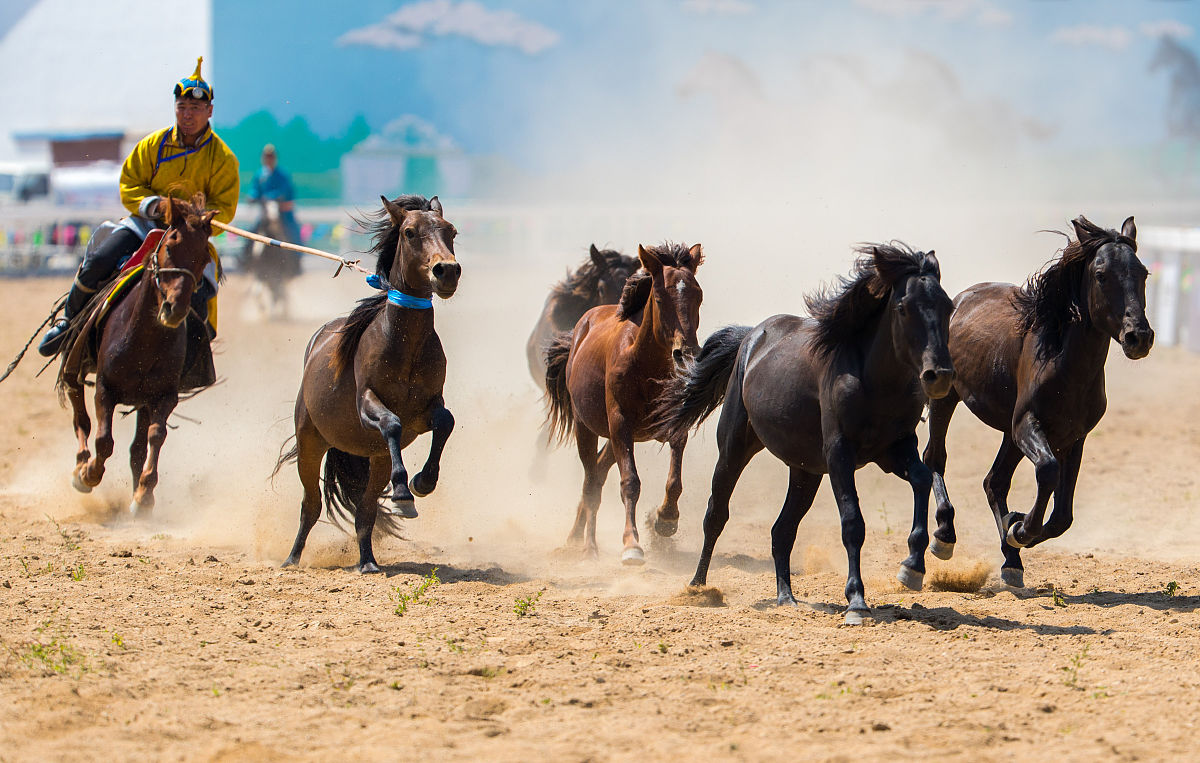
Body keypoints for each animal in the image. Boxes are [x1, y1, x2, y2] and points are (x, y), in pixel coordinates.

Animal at [59, 194, 218, 516]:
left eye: (204, 258)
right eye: (169, 247)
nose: (174, 309)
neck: (143, 342)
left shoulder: (163, 396)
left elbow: (155, 437)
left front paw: (144, 494)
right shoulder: (105, 389)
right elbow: (104, 440)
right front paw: (89, 473)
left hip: (143, 400)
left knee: (137, 447)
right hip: (74, 362)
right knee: (79, 413)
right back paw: (81, 464)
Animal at [273, 195, 460, 573]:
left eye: (451, 231)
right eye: (409, 232)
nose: (447, 270)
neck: (404, 344)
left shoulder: (427, 408)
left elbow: (445, 421)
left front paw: (422, 481)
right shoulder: (367, 405)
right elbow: (390, 422)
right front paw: (404, 491)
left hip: (377, 459)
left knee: (366, 510)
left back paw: (368, 561)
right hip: (310, 442)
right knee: (311, 505)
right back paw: (292, 559)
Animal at [544, 242, 704, 564]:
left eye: (698, 294)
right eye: (659, 297)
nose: (686, 354)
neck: (645, 364)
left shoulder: (672, 422)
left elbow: (675, 479)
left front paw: (665, 519)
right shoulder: (620, 424)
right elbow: (630, 482)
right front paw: (632, 544)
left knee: (598, 473)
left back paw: (577, 536)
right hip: (586, 428)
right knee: (591, 483)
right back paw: (587, 546)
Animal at [653, 243, 954, 624]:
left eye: (947, 306)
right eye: (903, 308)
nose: (939, 375)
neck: (873, 382)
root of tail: (750, 337)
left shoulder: (896, 449)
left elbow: (922, 478)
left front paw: (913, 566)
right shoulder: (840, 454)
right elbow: (852, 522)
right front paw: (856, 602)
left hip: (805, 472)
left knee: (781, 531)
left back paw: (786, 597)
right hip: (734, 449)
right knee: (716, 514)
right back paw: (697, 588)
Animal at [921, 216, 1153, 588]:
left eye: (1143, 272)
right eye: (1101, 274)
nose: (1139, 337)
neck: (1063, 361)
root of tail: (960, 299)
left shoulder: (1072, 437)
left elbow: (1062, 516)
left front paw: (1015, 528)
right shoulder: (1028, 424)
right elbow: (1047, 472)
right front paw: (1019, 528)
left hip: (1008, 434)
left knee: (994, 481)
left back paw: (1012, 561)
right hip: (947, 398)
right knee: (935, 458)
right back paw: (944, 536)